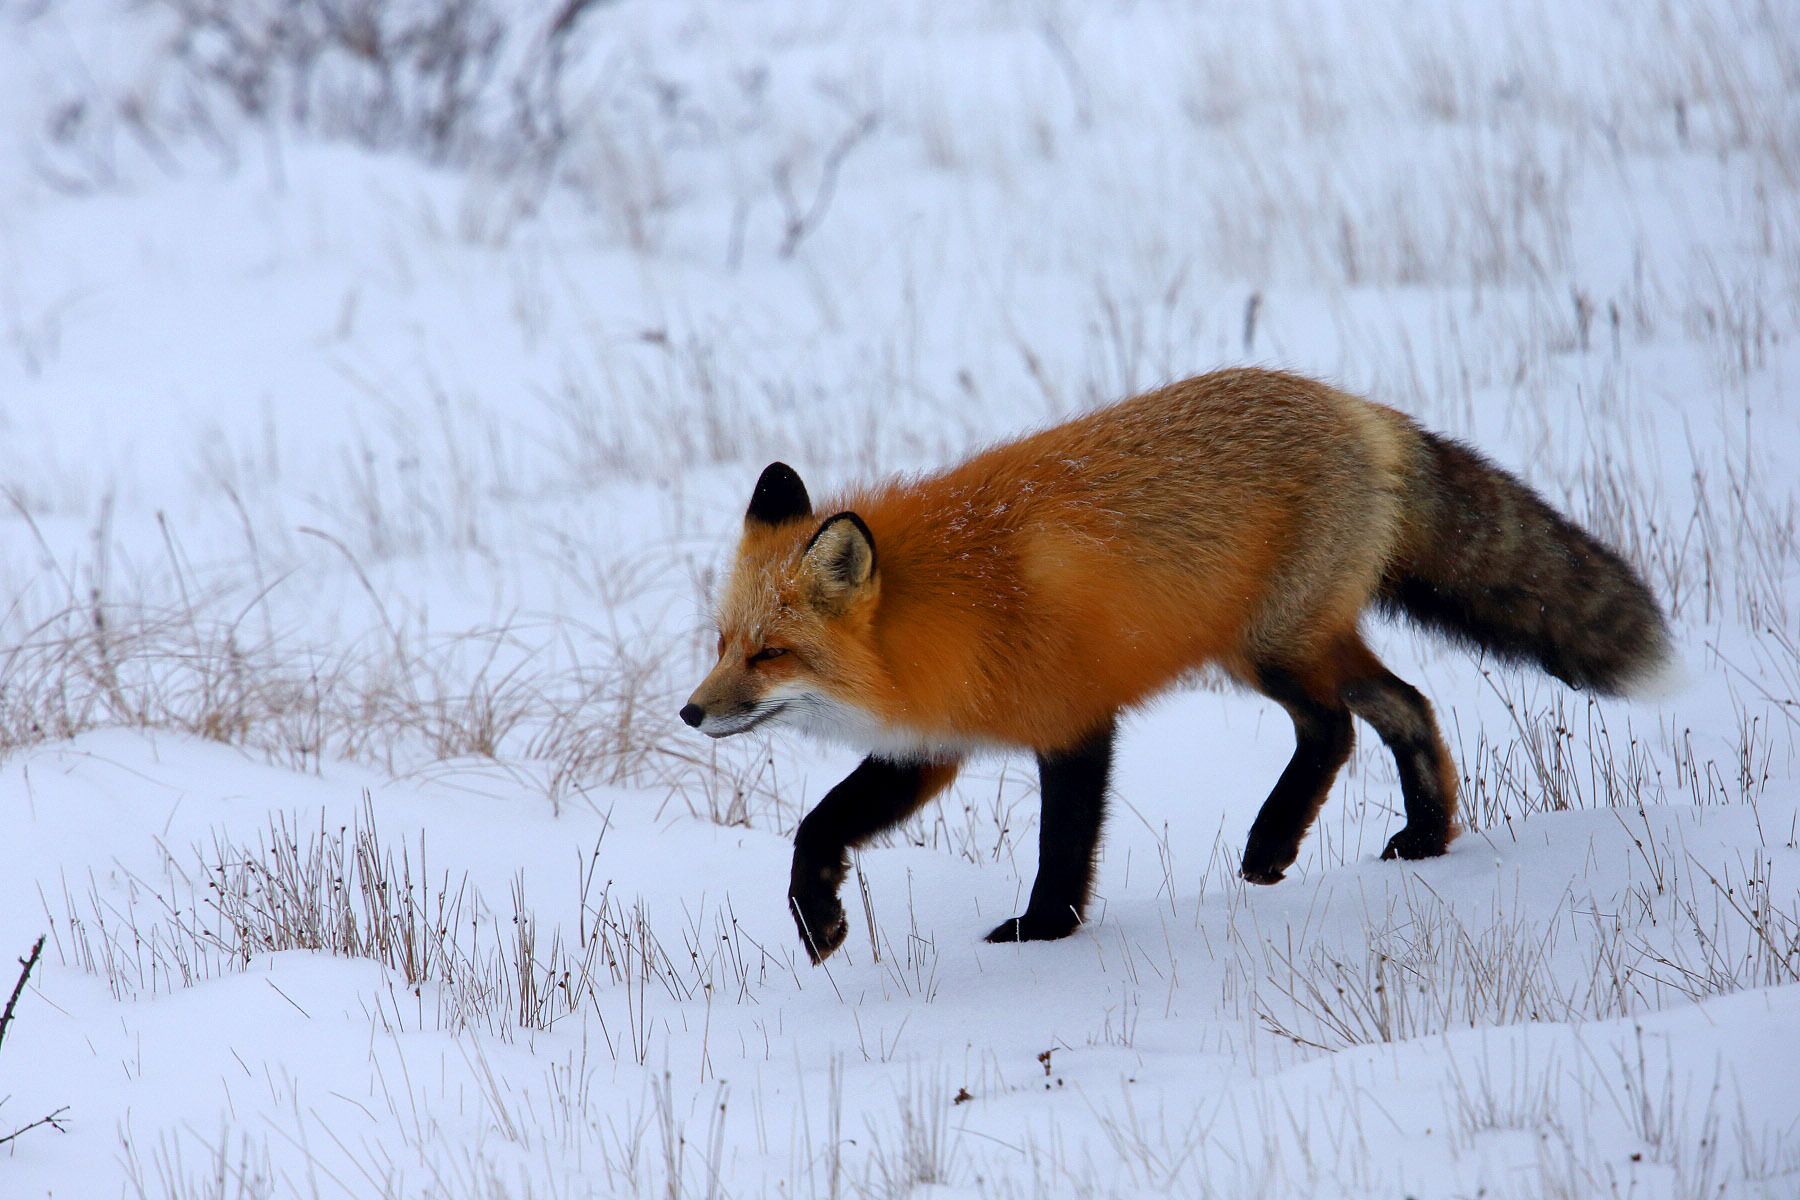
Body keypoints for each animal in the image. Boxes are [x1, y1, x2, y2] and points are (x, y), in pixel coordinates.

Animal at [676, 370, 1670, 964]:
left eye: (770, 653)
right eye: (722, 643)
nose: (689, 713)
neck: (944, 607)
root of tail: (1354, 405)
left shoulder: (1072, 720)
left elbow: (1064, 846)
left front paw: (1044, 931)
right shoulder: (931, 744)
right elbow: (818, 827)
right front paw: (819, 919)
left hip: (1272, 649)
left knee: (1338, 726)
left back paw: (1273, 844)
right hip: (1293, 645)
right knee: (1405, 707)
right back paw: (1422, 839)